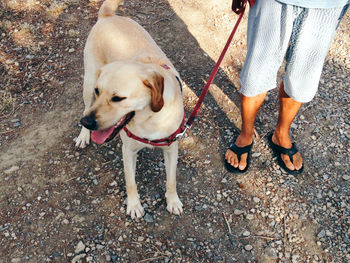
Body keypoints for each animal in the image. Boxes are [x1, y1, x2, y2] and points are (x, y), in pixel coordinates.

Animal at [75, 0, 185, 220]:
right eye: (99, 92)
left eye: (118, 98)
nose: (87, 123)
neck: (150, 120)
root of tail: (108, 16)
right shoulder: (128, 151)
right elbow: (131, 182)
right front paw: (134, 206)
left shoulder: (171, 149)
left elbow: (171, 180)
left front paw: (173, 201)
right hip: (88, 84)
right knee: (85, 106)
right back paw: (83, 136)